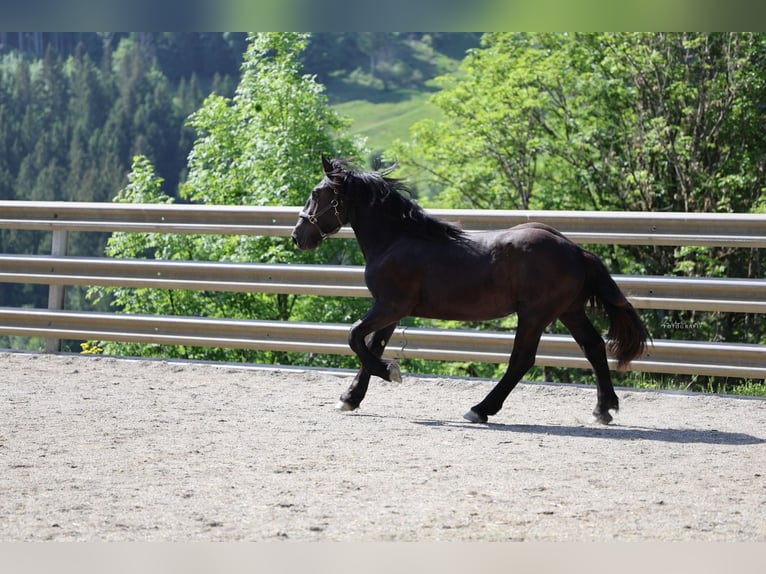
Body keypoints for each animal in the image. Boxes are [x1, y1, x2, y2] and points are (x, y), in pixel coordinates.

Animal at [291, 156, 648, 424]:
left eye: (316, 193)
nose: (297, 236)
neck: (396, 240)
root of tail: (576, 251)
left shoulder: (390, 306)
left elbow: (354, 336)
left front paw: (390, 373)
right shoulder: (391, 312)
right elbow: (372, 347)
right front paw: (350, 398)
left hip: (535, 315)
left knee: (522, 359)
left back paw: (480, 409)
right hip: (569, 311)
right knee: (594, 347)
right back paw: (603, 410)